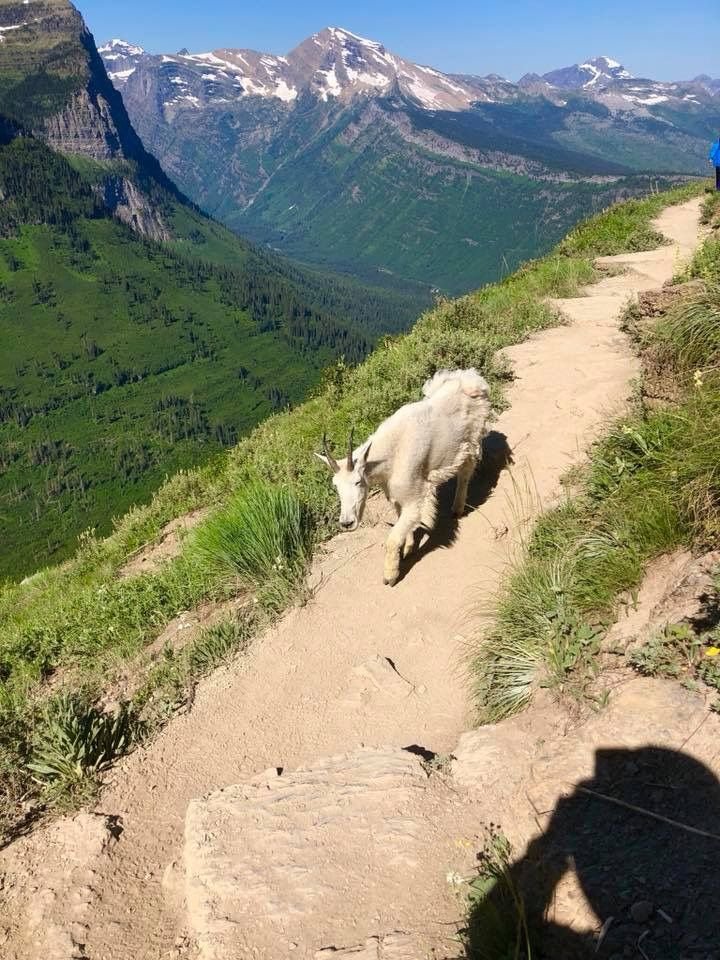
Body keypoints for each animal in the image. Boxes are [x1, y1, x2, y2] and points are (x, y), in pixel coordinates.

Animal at [315, 368, 491, 585]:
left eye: (358, 481)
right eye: (335, 486)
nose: (347, 523)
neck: (390, 455)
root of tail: (474, 379)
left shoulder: (415, 497)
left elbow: (393, 537)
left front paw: (390, 576)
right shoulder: (397, 496)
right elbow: (402, 523)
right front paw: (407, 549)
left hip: (471, 440)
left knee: (465, 472)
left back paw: (457, 508)